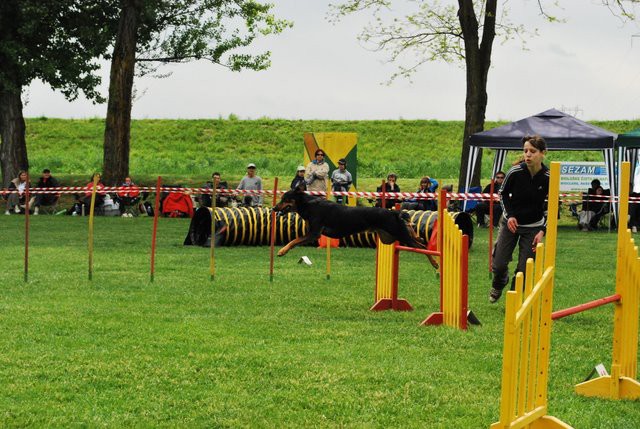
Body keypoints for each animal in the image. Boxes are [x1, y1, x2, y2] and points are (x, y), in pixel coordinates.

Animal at [272, 186, 438, 266]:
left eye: (285, 198)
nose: (274, 208)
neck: (309, 204)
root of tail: (393, 213)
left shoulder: (314, 233)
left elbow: (294, 240)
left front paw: (281, 251)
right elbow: (295, 241)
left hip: (399, 234)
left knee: (422, 247)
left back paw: (435, 263)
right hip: (388, 237)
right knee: (414, 235)